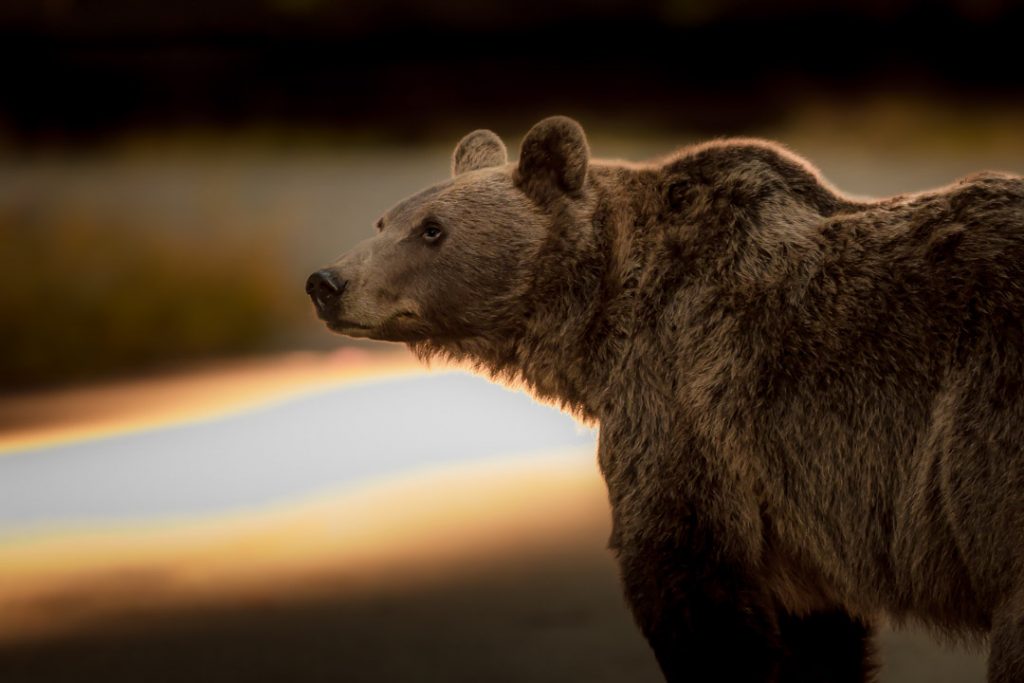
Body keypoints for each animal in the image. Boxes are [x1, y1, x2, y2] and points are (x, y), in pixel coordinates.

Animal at [306, 116, 1024, 682]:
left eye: (433, 230)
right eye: (384, 219)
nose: (326, 281)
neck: (599, 319)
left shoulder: (689, 406)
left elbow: (690, 580)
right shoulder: (800, 514)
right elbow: (819, 632)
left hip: (989, 434)